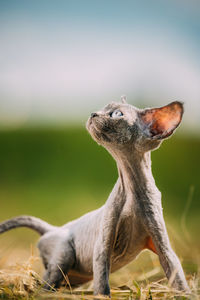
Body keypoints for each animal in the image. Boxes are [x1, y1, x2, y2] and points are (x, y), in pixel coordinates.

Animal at [0, 98, 189, 296]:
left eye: (117, 114)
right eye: (104, 108)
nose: (93, 114)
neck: (132, 190)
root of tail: (54, 228)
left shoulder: (163, 245)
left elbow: (177, 274)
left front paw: (186, 294)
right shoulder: (102, 245)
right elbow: (102, 282)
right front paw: (102, 296)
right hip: (65, 252)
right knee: (46, 285)